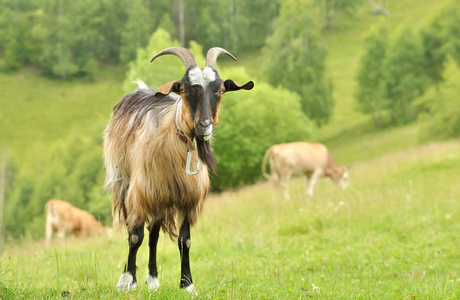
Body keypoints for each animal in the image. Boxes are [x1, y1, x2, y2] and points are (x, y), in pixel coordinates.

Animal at [103, 46, 253, 292]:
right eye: (184, 89)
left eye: (220, 90)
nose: (204, 125)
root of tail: (140, 90)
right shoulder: (141, 193)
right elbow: (134, 236)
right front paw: (129, 281)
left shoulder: (188, 199)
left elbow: (185, 240)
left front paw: (187, 284)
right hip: (125, 183)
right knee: (135, 231)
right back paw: (129, 277)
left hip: (161, 199)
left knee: (153, 234)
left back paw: (153, 280)